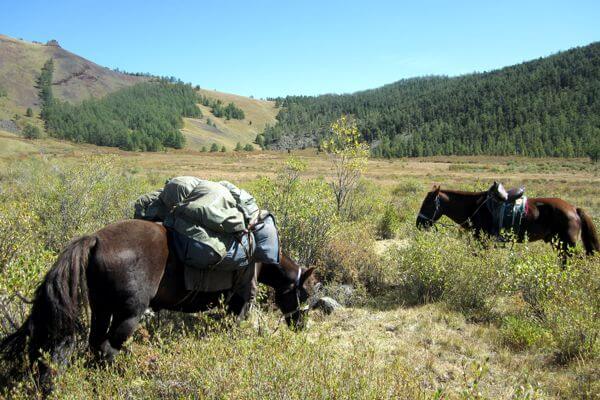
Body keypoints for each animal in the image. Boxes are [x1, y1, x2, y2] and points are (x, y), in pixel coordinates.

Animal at [0, 219, 316, 390]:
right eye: (306, 294)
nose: (300, 325)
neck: (259, 252)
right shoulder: (239, 301)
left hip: (102, 309)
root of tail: (96, 239)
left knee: (95, 345)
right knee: (108, 348)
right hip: (128, 314)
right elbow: (233, 329)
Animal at [418, 182, 600, 260]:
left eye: (428, 203)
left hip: (567, 244)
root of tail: (574, 209)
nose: (418, 223)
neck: (475, 207)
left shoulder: (485, 240)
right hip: (558, 243)